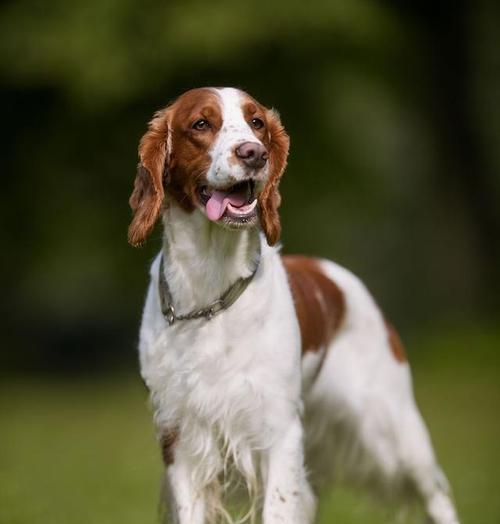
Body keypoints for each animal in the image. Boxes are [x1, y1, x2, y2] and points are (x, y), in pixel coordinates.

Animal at [127, 88, 458, 520]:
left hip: (397, 430)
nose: (253, 153)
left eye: (257, 123)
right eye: (200, 124)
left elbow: (280, 507)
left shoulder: (278, 429)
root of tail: (331, 271)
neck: (210, 293)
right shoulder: (180, 437)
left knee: (437, 492)